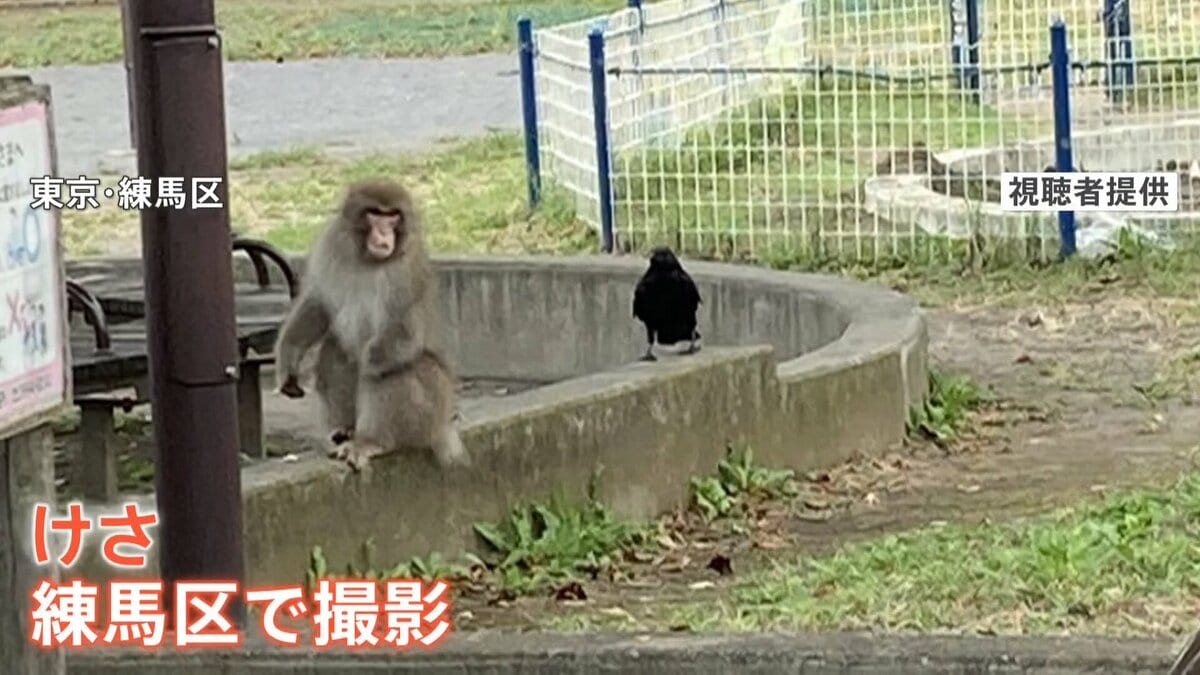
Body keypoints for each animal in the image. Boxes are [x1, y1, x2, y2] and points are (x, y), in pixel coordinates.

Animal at [272, 179, 470, 472]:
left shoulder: (406, 272)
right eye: (374, 213)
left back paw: (370, 440)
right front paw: (288, 363)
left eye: (392, 216)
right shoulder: (330, 246)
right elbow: (318, 305)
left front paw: (365, 365)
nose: (383, 234)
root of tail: (444, 426)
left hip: (431, 406)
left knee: (395, 371)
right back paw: (345, 430)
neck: (369, 260)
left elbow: (404, 334)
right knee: (335, 351)